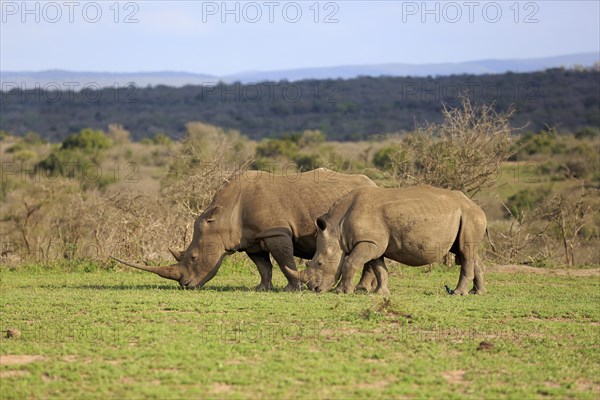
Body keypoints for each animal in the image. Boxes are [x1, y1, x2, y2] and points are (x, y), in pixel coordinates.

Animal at [112, 169, 378, 290]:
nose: (185, 285)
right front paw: (262, 289)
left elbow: (285, 261)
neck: (223, 217)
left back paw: (362, 290)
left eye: (194, 257)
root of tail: (374, 183)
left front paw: (292, 289)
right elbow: (263, 266)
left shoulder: (275, 232)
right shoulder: (251, 239)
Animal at [284, 184, 488, 294]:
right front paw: (380, 293)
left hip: (470, 215)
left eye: (319, 263)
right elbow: (379, 268)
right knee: (467, 251)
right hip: (466, 216)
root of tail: (476, 205)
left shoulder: (368, 242)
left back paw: (458, 293)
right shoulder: (374, 244)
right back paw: (477, 293)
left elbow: (350, 263)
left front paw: (342, 291)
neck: (337, 230)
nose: (315, 289)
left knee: (466, 251)